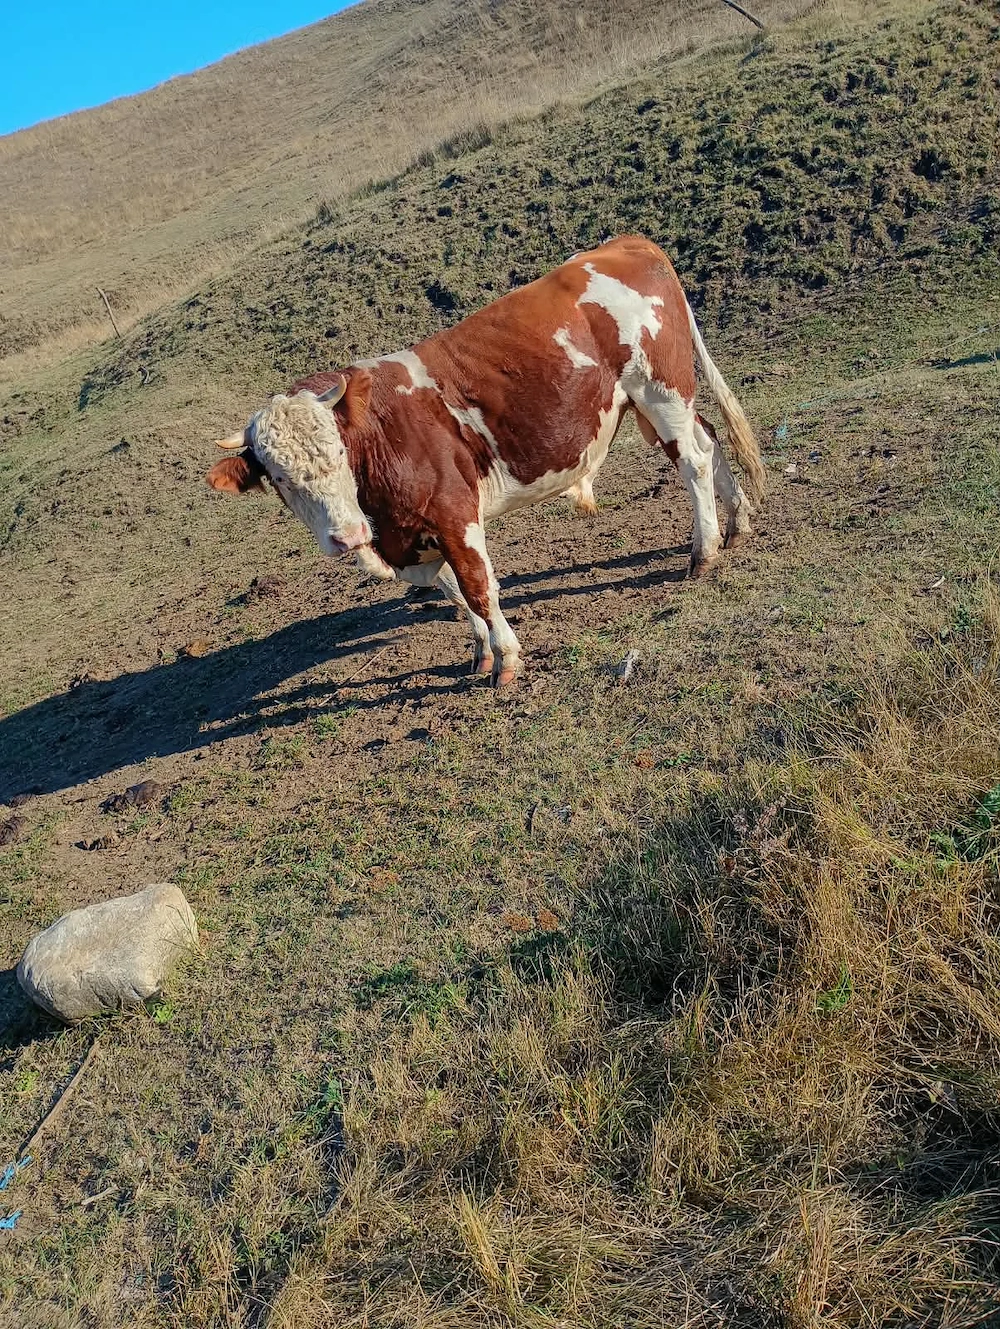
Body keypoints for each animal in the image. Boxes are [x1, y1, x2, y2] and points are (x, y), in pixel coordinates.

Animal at [206, 235, 764, 686]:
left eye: (341, 452)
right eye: (280, 479)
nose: (347, 537)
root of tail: (625, 244)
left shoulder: (454, 513)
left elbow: (477, 587)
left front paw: (508, 660)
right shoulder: (417, 537)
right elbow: (455, 591)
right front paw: (481, 652)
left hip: (661, 390)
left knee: (693, 461)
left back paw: (704, 552)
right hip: (657, 402)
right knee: (710, 440)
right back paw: (737, 522)